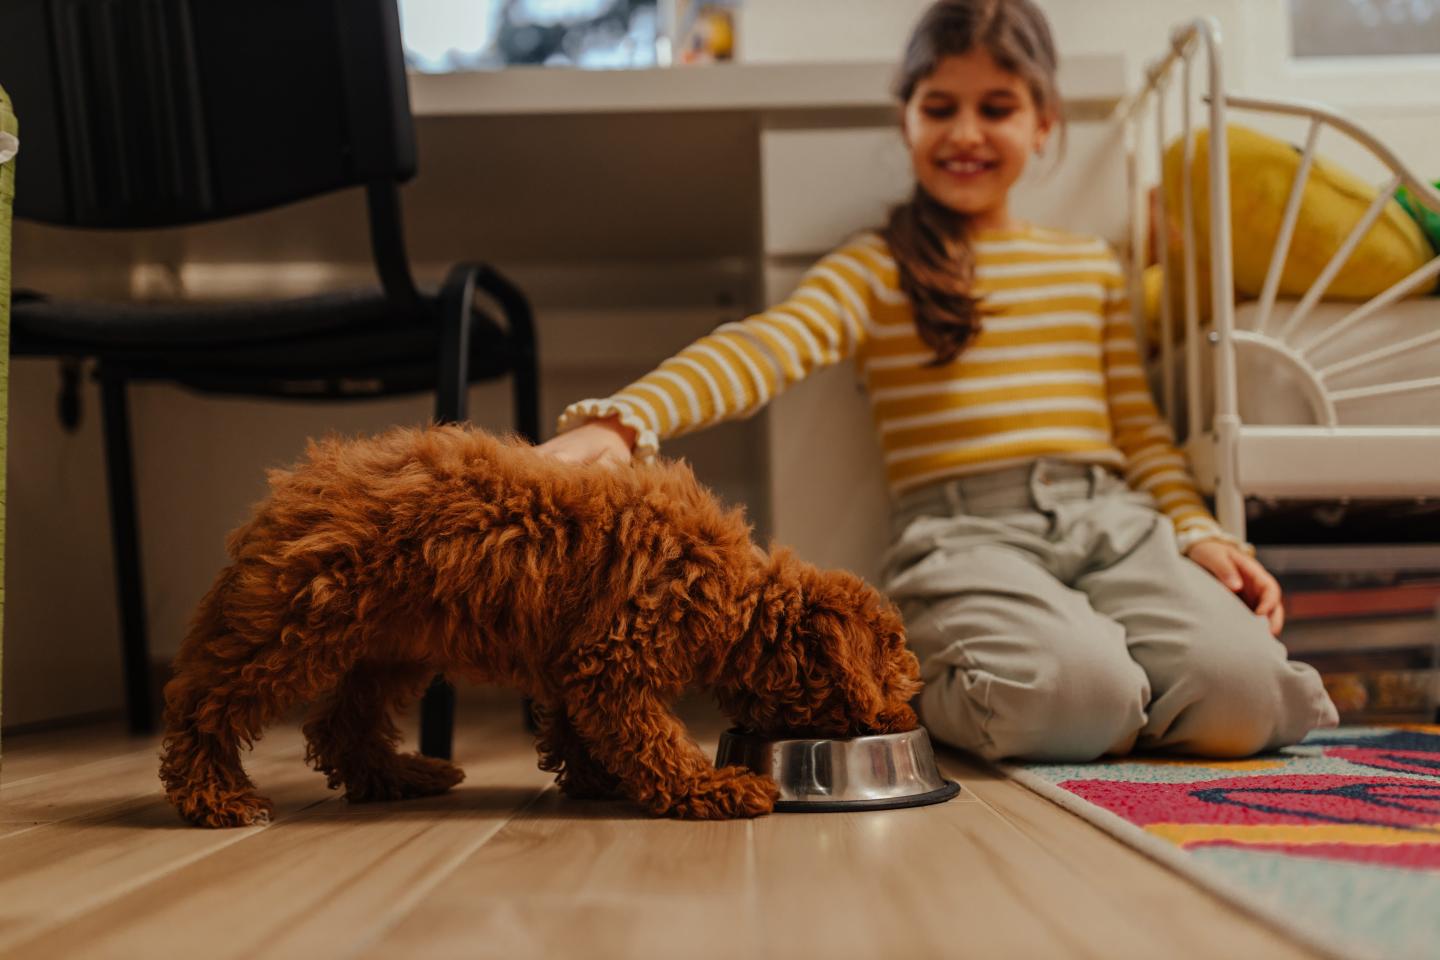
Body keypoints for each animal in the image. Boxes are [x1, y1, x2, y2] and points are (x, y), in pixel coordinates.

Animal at [160, 423, 921, 829]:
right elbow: (652, 738)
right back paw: (218, 796)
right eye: (895, 680)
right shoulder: (614, 659)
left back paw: (401, 774)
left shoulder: (574, 661)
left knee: (342, 723)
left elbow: (577, 727)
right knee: (204, 705)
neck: (733, 594)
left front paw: (594, 779)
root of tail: (287, 491)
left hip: (389, 642)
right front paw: (712, 790)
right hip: (290, 629)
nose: (909, 716)